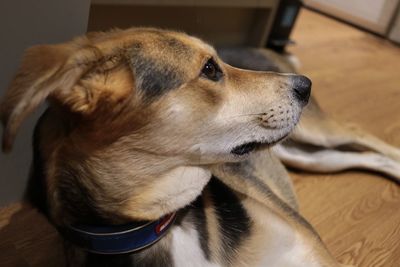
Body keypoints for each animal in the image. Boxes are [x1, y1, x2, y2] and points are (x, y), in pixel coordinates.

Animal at [1, 27, 398, 267]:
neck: (161, 227)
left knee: (360, 133)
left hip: (315, 132)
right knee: (362, 155)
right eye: (210, 69)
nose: (305, 85)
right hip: (304, 154)